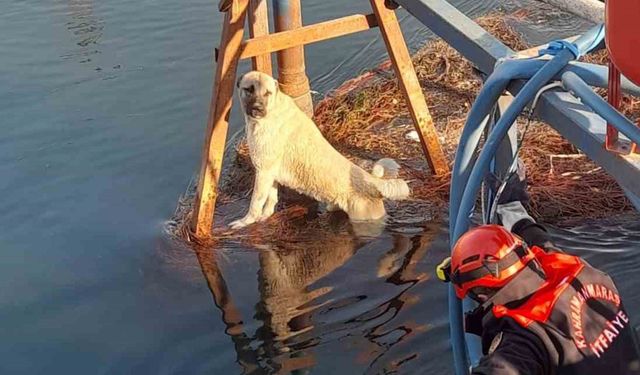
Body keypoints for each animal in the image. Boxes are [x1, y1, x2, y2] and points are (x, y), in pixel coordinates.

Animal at [230, 70, 410, 229]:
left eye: (267, 93)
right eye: (249, 89)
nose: (257, 109)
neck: (273, 110)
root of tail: (374, 183)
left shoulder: (263, 172)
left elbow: (255, 202)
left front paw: (245, 222)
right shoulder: (270, 173)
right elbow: (271, 199)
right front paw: (265, 216)